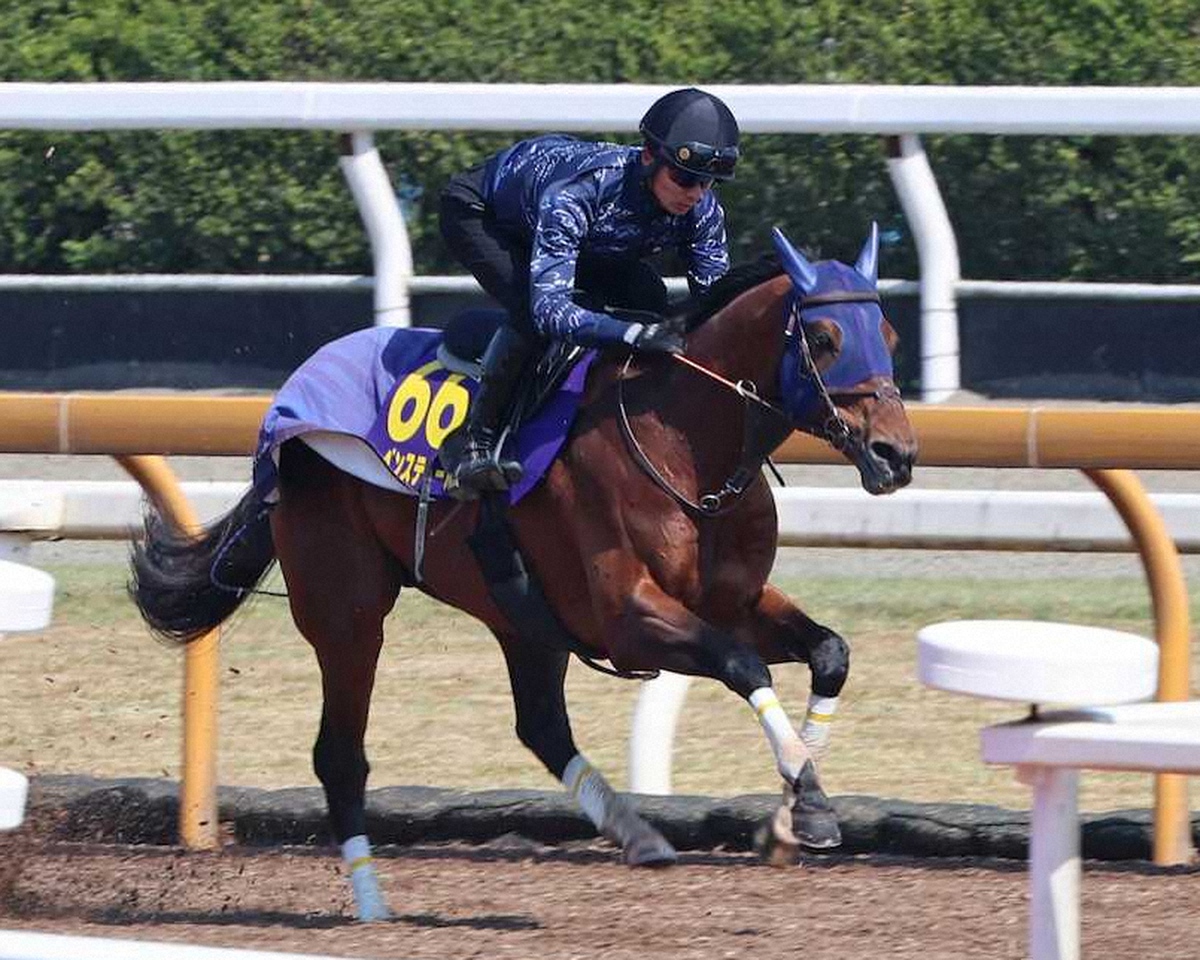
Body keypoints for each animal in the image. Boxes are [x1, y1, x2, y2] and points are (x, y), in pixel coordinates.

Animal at [130, 225, 917, 921]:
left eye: (890, 337)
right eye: (825, 339)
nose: (897, 454)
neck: (684, 442)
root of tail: (287, 408)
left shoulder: (734, 600)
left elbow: (830, 652)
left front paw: (799, 807)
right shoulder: (629, 619)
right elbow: (742, 664)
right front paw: (804, 802)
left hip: (522, 615)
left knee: (540, 724)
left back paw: (639, 836)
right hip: (347, 611)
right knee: (340, 755)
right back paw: (372, 903)